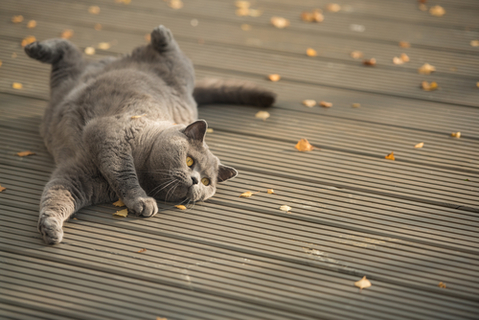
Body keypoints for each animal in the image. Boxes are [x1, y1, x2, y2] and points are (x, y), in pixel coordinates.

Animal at [24, 25, 276, 245]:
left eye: (206, 182)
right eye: (189, 161)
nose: (195, 180)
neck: (145, 171)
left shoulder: (78, 177)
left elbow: (57, 196)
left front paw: (50, 228)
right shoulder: (111, 136)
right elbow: (123, 173)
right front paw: (142, 201)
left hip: (65, 80)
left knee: (69, 56)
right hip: (181, 73)